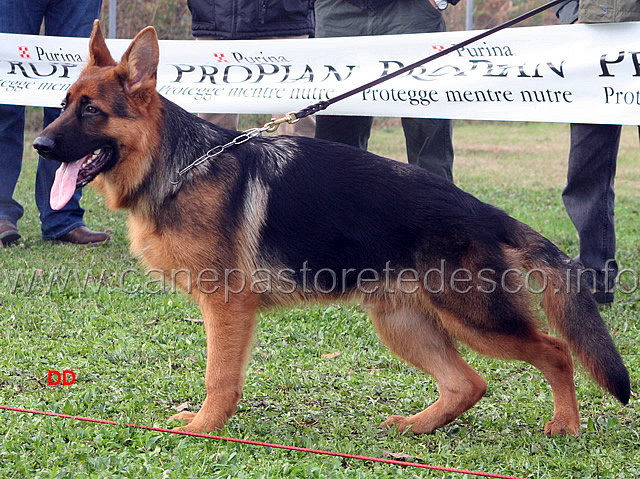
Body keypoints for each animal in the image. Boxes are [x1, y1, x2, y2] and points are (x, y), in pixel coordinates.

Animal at [35, 21, 632, 436]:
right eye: (62, 105)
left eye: (91, 111)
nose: (39, 146)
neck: (177, 165)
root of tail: (483, 210)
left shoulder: (227, 307)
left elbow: (219, 376)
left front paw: (206, 428)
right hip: (402, 322)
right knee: (470, 383)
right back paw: (418, 427)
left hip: (476, 319)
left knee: (555, 351)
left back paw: (565, 424)